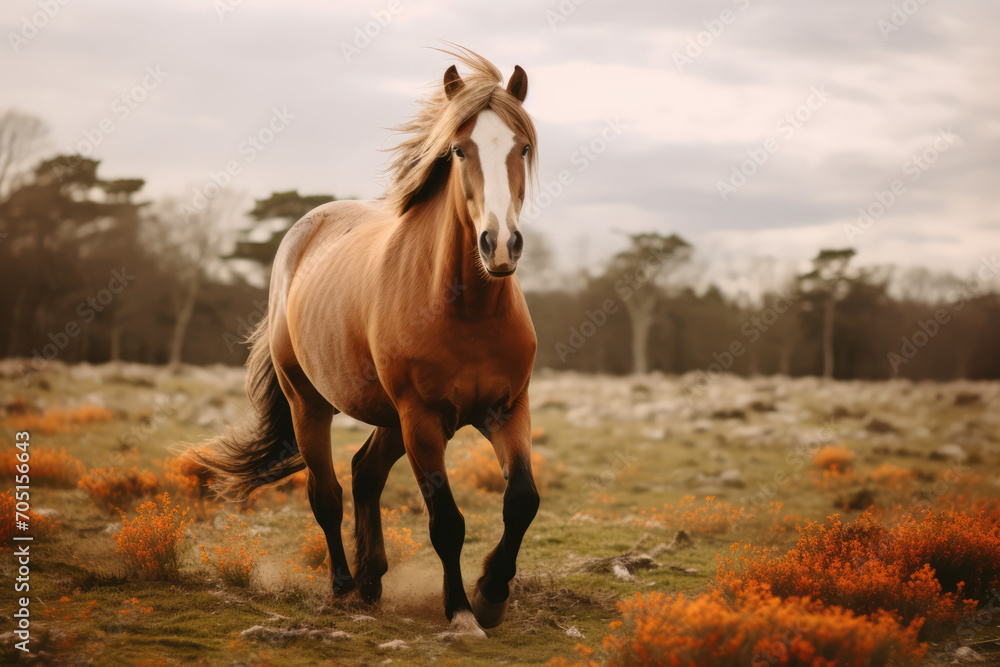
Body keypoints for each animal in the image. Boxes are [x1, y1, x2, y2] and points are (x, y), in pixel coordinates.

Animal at [190, 47, 541, 637]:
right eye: (459, 149)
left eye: (523, 147)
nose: (499, 245)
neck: (465, 308)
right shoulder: (421, 418)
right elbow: (446, 522)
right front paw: (461, 613)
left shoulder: (507, 409)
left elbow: (522, 502)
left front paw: (491, 595)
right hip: (313, 405)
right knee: (327, 494)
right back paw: (343, 585)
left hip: (393, 420)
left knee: (364, 474)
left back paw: (372, 579)